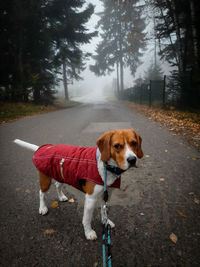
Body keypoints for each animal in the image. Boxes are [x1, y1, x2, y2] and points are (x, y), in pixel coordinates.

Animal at [13, 129, 142, 242]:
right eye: (117, 146)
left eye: (134, 143)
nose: (132, 159)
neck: (107, 166)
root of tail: (43, 148)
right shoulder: (91, 198)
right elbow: (87, 219)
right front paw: (89, 233)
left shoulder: (107, 194)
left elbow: (103, 210)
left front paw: (106, 222)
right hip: (45, 180)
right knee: (41, 193)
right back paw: (42, 208)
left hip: (61, 175)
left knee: (58, 185)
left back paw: (61, 197)